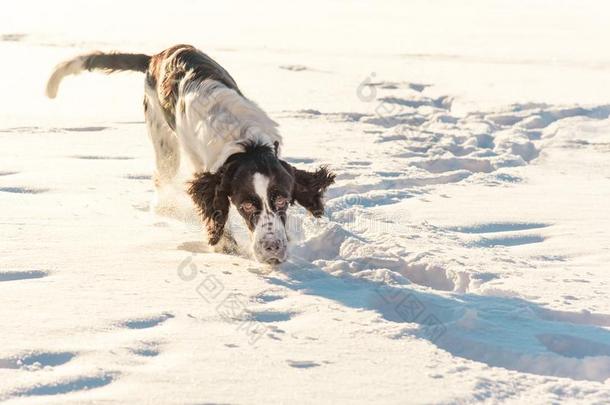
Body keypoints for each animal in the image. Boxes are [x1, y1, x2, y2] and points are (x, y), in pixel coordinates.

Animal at [45, 45, 334, 266]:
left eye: (283, 200)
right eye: (246, 206)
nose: (273, 250)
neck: (246, 146)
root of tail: (155, 57)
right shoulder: (204, 170)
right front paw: (225, 248)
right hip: (164, 143)